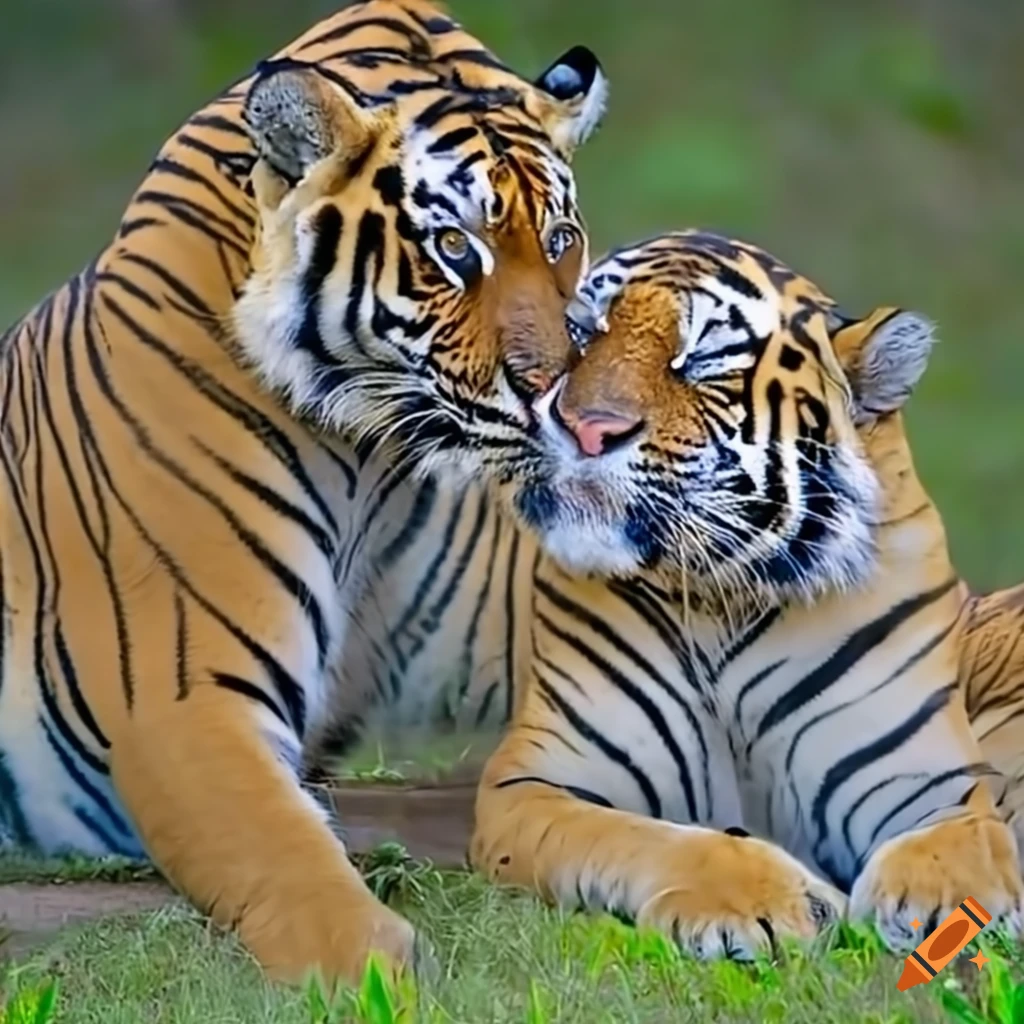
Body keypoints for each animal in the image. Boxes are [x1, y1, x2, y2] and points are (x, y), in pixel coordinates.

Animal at [0, 0, 608, 986]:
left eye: (559, 241)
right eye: (454, 247)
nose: (562, 396)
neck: (375, 457)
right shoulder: (184, 701)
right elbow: (300, 873)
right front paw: (393, 973)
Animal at [458, 229, 1024, 961]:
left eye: (700, 361)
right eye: (582, 331)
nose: (586, 428)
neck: (721, 596)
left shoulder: (931, 781)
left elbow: (965, 844)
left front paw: (946, 907)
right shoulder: (536, 782)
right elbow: (652, 839)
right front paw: (764, 906)